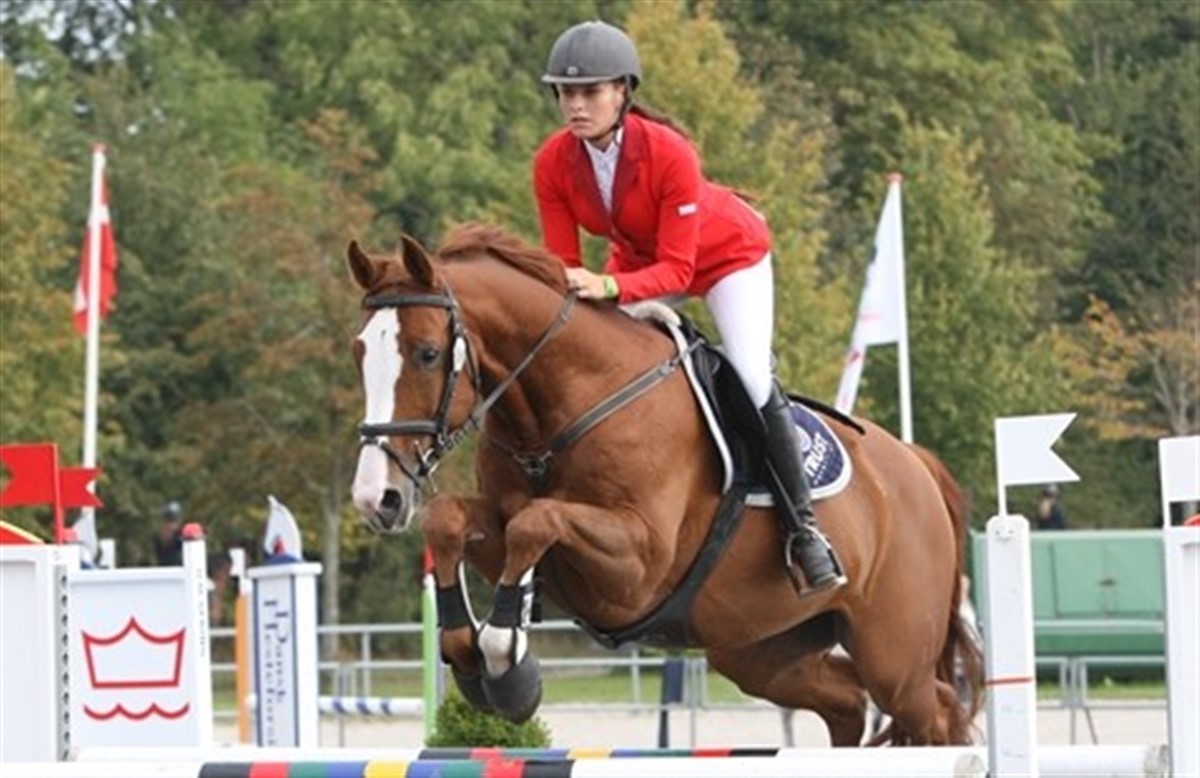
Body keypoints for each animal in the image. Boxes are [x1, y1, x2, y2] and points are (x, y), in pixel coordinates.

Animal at [347, 223, 984, 746]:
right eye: (359, 353)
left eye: (427, 353)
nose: (376, 498)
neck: (562, 407)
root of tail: (917, 467)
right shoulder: (508, 528)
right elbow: (452, 518)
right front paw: (469, 651)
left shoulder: (638, 564)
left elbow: (538, 520)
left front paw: (506, 660)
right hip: (760, 650)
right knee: (847, 703)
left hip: (895, 655)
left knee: (936, 713)